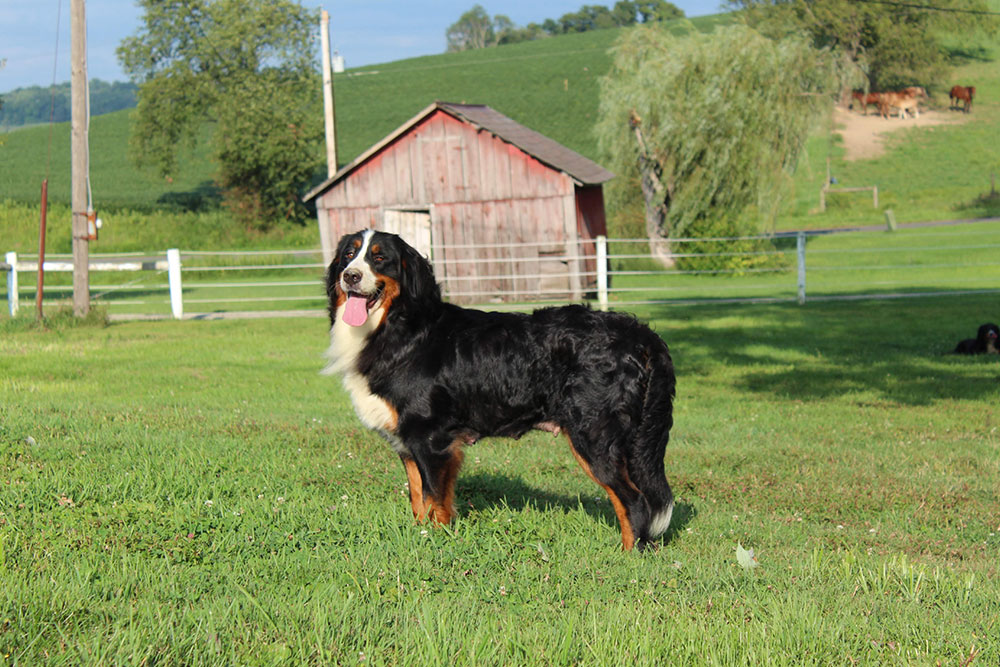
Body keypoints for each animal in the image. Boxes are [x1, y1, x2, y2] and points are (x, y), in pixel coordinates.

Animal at [324, 231, 676, 552]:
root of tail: (637, 332)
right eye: (348, 255)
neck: (398, 327)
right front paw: (420, 537)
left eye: (380, 258)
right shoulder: (411, 445)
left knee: (634, 501)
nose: (350, 276)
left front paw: (435, 544)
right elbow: (419, 500)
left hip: (594, 437)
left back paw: (629, 556)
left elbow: (434, 500)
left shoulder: (431, 440)